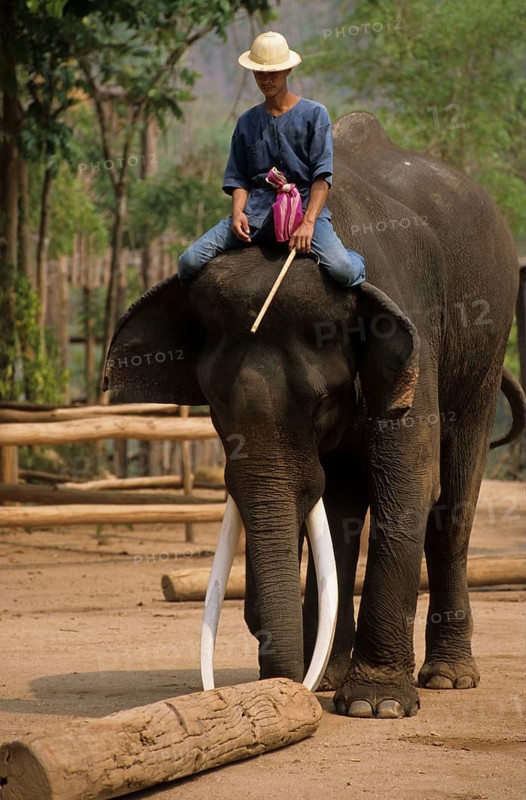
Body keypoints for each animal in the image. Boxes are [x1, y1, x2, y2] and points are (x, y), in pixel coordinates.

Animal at [103, 112, 526, 718]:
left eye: (322, 400)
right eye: (213, 405)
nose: (281, 683)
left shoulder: (415, 337)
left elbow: (410, 479)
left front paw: (378, 706)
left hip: (486, 344)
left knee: (453, 495)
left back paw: (445, 678)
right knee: (343, 503)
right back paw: (327, 677)